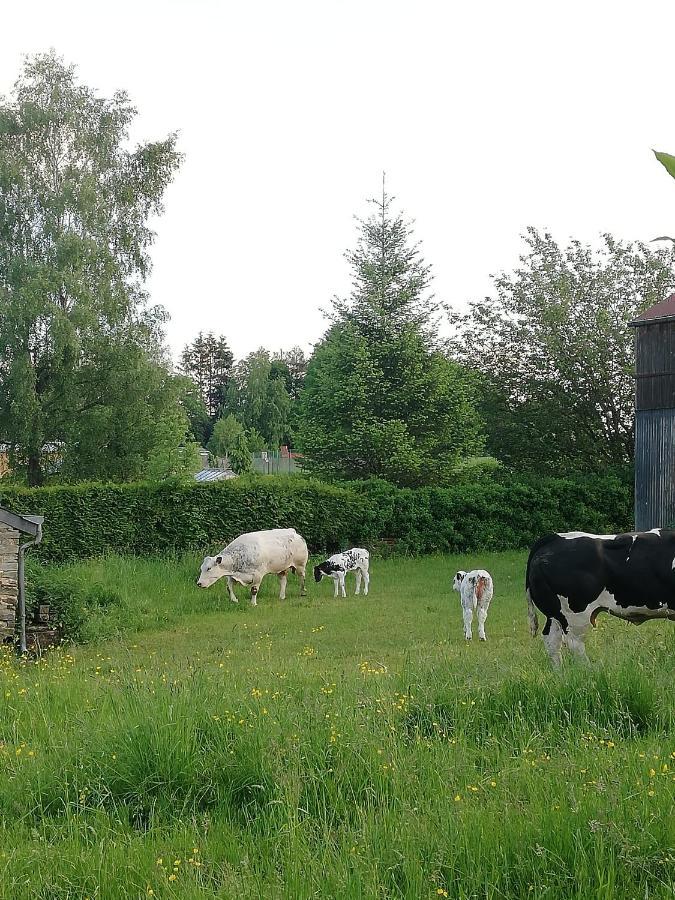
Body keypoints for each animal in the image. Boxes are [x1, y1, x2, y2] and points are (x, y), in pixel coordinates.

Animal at [528, 528, 675, 668]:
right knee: (574, 644)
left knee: (552, 641)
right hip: (575, 614)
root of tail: (556, 538)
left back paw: (560, 674)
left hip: (554, 614)